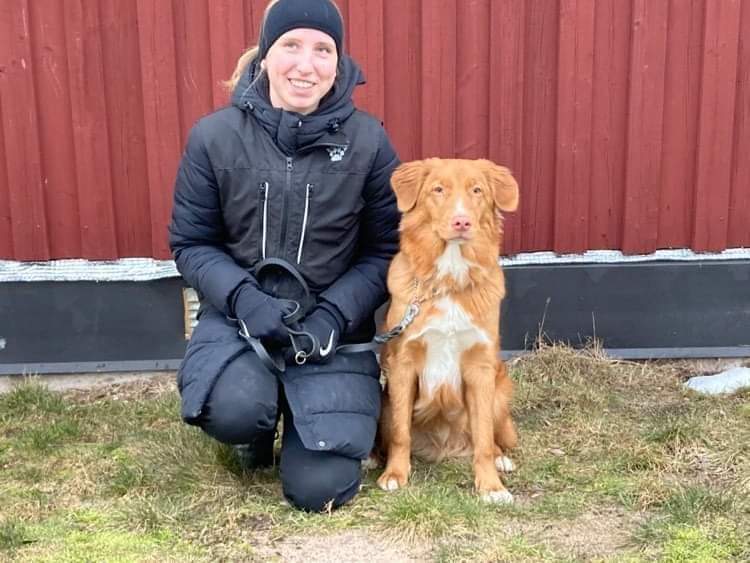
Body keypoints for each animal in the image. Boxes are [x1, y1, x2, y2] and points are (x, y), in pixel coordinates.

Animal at [375, 158, 519, 503]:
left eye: (477, 190)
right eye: (438, 189)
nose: (461, 221)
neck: (448, 282)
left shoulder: (480, 367)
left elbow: (483, 438)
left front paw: (491, 486)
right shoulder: (403, 363)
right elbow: (400, 432)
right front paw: (395, 475)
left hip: (499, 390)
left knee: (489, 436)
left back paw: (500, 458)